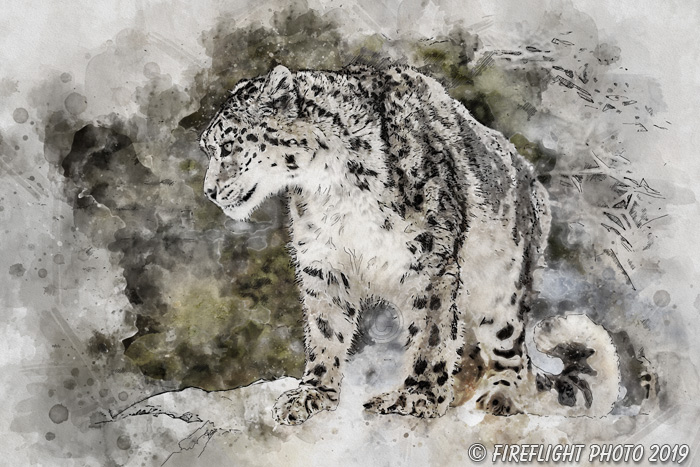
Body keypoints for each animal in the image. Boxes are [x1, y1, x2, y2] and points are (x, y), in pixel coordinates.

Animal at [199, 63, 620, 425]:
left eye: (228, 145)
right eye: (209, 147)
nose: (209, 192)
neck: (335, 192)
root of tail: (533, 182)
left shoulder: (430, 263)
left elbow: (430, 335)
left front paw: (416, 397)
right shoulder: (323, 262)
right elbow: (325, 330)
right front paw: (312, 394)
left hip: (501, 289)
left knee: (508, 353)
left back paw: (498, 398)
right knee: (467, 349)